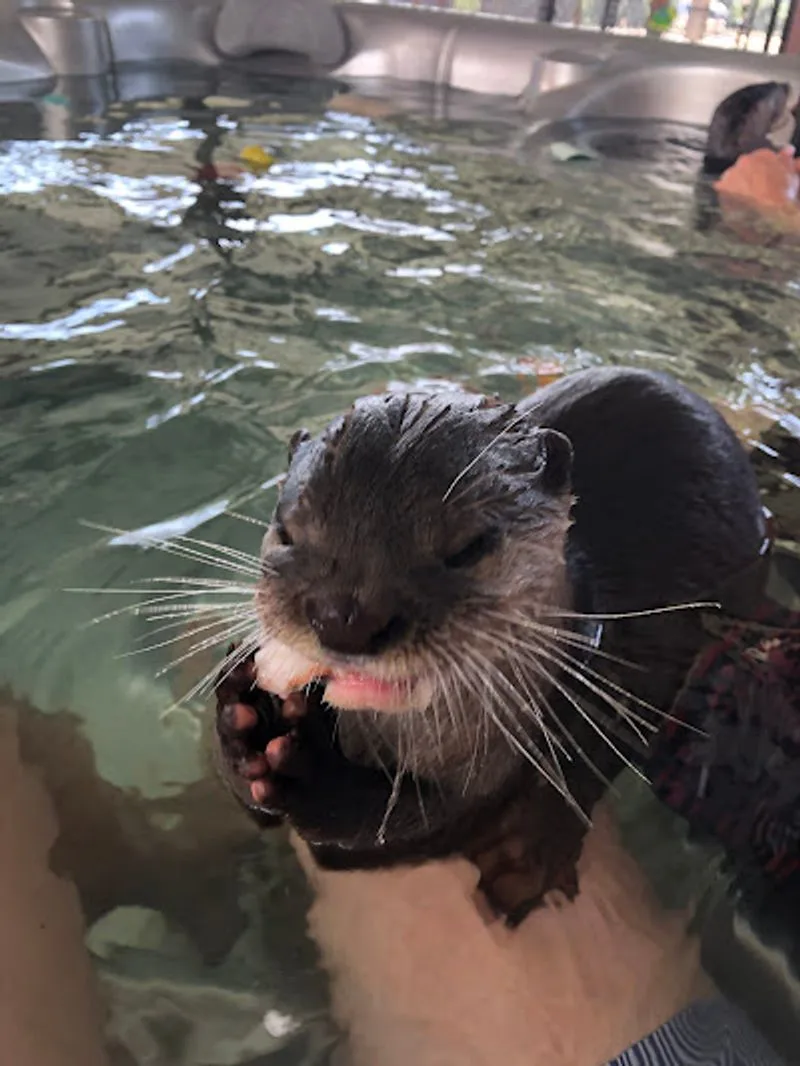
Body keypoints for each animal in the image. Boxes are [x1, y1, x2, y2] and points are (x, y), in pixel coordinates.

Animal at [216, 366, 765, 916]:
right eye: (287, 531)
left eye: (468, 548)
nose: (343, 616)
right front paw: (243, 712)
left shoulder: (504, 753)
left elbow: (421, 822)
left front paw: (311, 770)